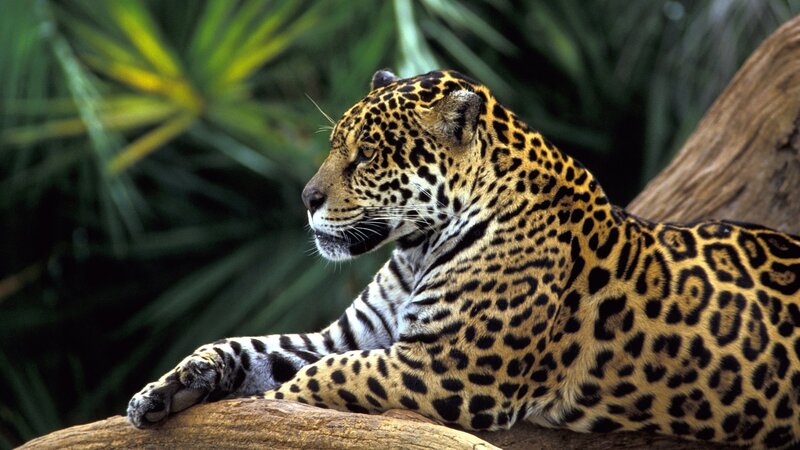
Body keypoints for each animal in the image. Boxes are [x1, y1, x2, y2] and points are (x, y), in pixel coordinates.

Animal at [127, 69, 800, 448]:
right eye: (335, 145)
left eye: (366, 155)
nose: (306, 198)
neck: (418, 247)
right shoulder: (351, 335)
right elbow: (247, 349)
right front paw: (165, 390)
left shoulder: (451, 368)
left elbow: (323, 379)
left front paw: (270, 408)